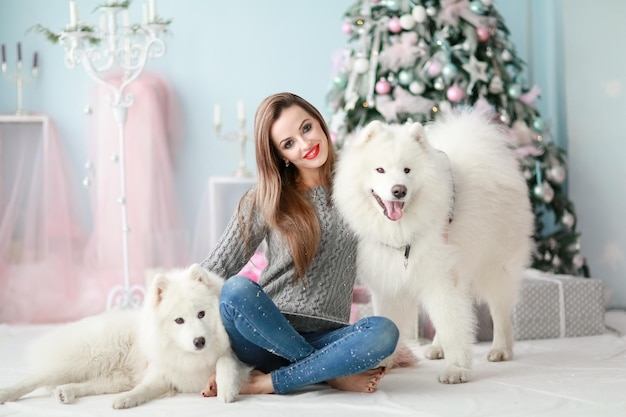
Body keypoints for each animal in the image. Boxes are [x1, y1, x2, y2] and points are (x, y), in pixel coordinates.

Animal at [0, 264, 249, 406]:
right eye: (179, 320)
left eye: (201, 314)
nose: (199, 341)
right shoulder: (161, 373)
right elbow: (143, 389)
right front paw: (126, 400)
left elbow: (224, 360)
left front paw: (226, 389)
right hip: (84, 359)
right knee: (35, 378)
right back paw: (7, 393)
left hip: (114, 378)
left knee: (87, 384)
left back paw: (66, 392)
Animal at [332, 109, 532, 384]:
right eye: (380, 170)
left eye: (407, 170)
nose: (399, 190)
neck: (400, 234)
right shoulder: (389, 282)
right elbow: (393, 321)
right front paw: (381, 363)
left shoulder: (440, 277)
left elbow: (452, 326)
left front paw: (456, 369)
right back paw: (437, 348)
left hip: (495, 266)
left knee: (500, 311)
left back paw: (501, 349)